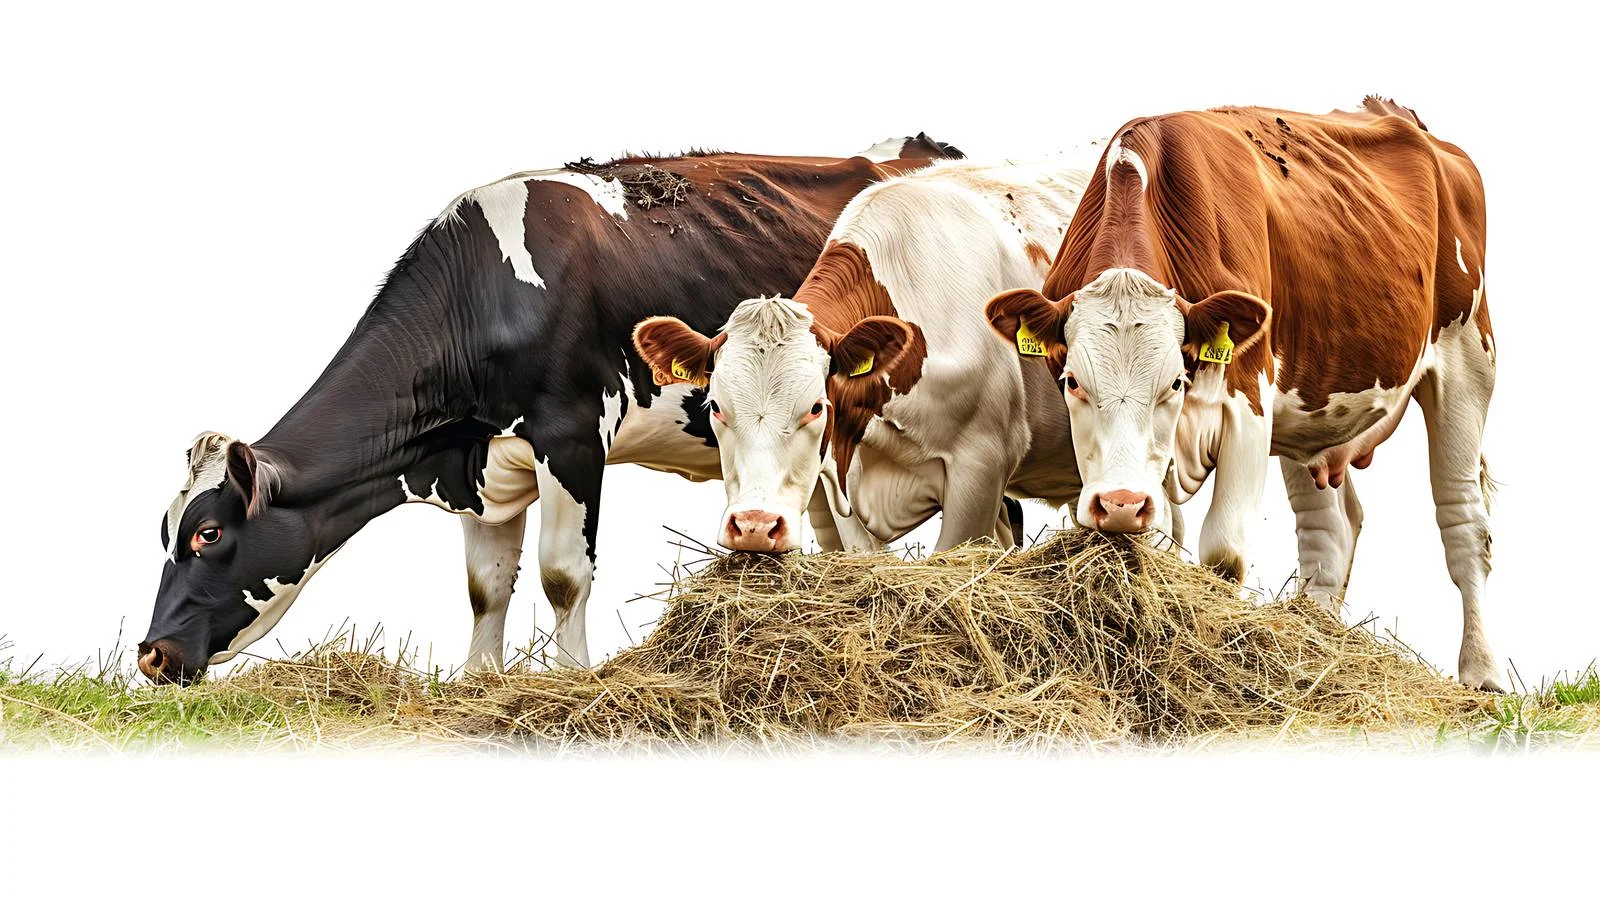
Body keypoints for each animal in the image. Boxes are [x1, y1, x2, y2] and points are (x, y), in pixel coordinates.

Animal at [139, 135, 963, 685]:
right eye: (164, 530)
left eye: (209, 532)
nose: (150, 653)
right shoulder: (479, 464)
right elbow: (484, 586)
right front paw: (478, 683)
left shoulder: (570, 438)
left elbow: (564, 574)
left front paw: (569, 682)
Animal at [983, 98, 1502, 690]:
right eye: (1071, 381)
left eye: (1176, 382)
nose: (1120, 504)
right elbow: (1158, 538)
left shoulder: (1249, 408)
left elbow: (1223, 552)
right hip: (1310, 405)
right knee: (1329, 530)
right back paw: (1316, 635)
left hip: (1468, 361)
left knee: (1464, 525)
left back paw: (1482, 673)